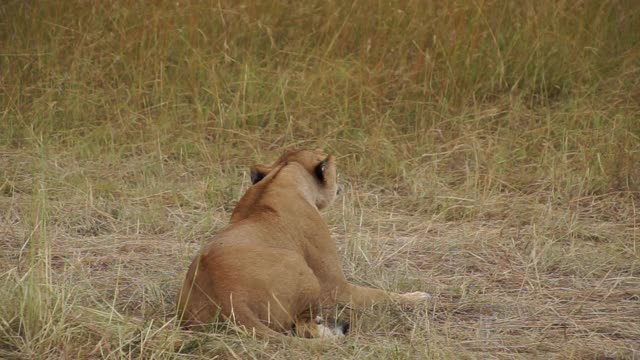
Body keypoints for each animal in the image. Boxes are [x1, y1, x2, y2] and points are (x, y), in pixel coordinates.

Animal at [176, 148, 430, 338]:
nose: (342, 183)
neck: (282, 174)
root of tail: (229, 299)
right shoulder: (337, 287)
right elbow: (381, 295)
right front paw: (419, 298)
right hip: (303, 270)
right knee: (303, 328)